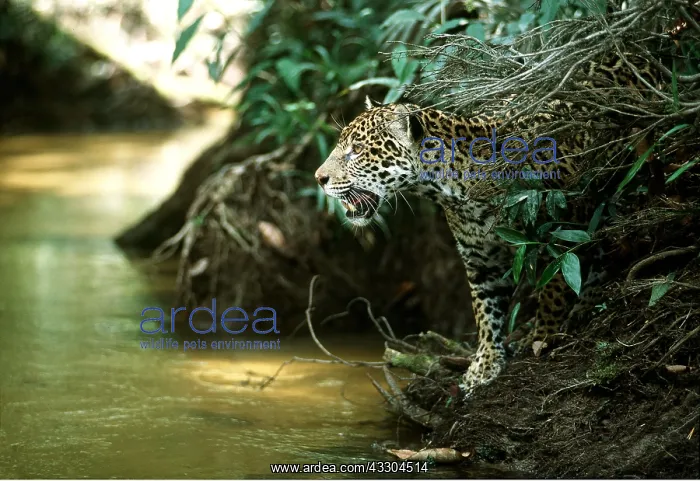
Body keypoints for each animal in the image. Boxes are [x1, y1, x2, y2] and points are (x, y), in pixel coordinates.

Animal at [314, 58, 662, 398]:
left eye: (357, 151)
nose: (319, 178)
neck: (456, 189)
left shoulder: (560, 232)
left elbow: (555, 288)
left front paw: (543, 335)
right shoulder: (480, 259)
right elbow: (485, 310)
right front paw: (485, 363)